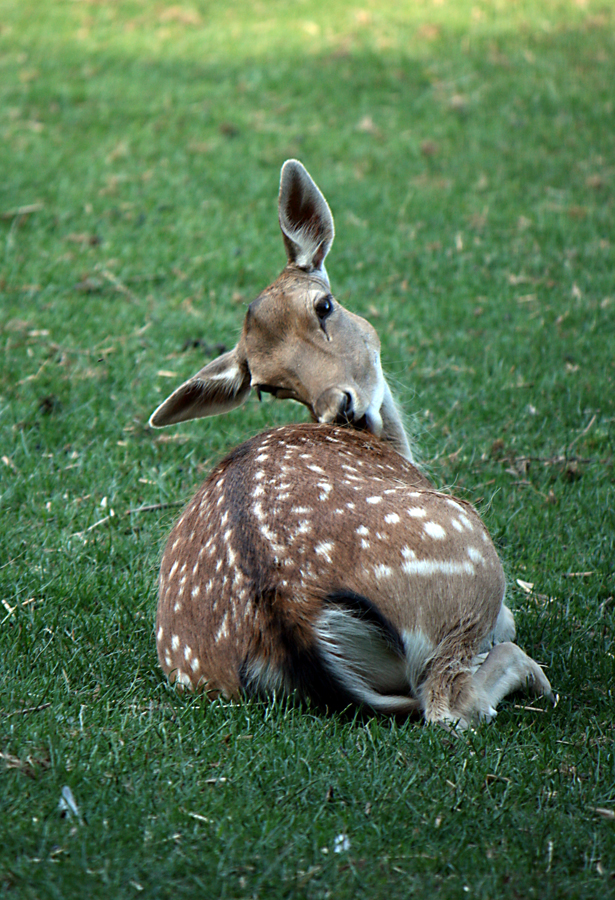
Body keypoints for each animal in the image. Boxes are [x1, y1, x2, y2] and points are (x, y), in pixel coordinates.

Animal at [149, 158, 552, 728]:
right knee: (450, 704)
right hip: (467, 555)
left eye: (324, 305)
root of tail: (291, 616)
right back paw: (531, 675)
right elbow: (510, 621)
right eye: (268, 384)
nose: (340, 406)